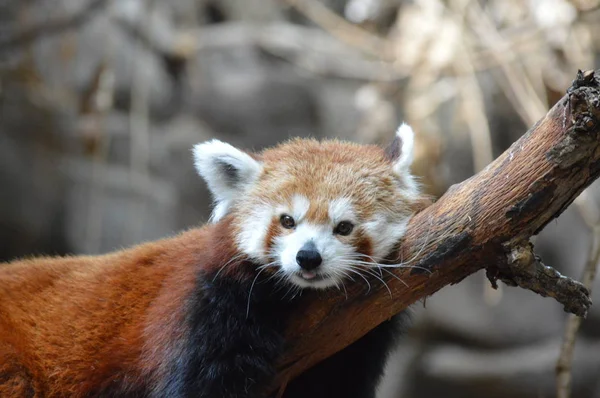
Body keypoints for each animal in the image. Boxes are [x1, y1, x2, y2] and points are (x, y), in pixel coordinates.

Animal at [0, 123, 424, 396]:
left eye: (344, 227)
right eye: (287, 221)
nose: (308, 258)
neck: (297, 299)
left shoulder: (353, 338)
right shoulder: (204, 306)